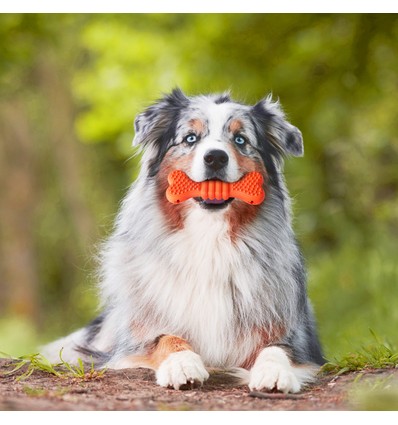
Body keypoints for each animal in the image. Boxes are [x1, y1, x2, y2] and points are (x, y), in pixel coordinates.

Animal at [42, 89, 324, 394]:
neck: (210, 238)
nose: (215, 158)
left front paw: (274, 372)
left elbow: (277, 349)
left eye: (240, 140)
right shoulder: (134, 341)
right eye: (190, 138)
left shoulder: (294, 338)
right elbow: (165, 338)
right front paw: (182, 365)